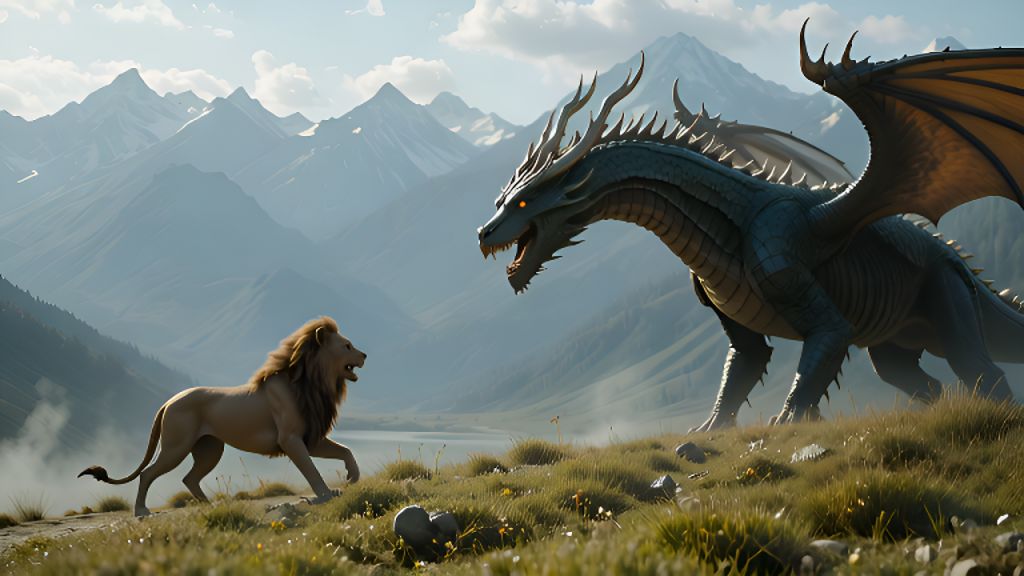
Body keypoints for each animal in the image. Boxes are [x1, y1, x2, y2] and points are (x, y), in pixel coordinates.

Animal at [79, 316, 365, 517]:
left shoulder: (310, 437)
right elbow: (311, 471)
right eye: (347, 345)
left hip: (210, 449)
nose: (364, 355)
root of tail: (168, 401)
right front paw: (326, 495)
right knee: (147, 474)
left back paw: (210, 506)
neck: (312, 382)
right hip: (176, 446)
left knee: (189, 478)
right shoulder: (291, 439)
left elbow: (346, 451)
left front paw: (352, 476)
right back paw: (141, 511)